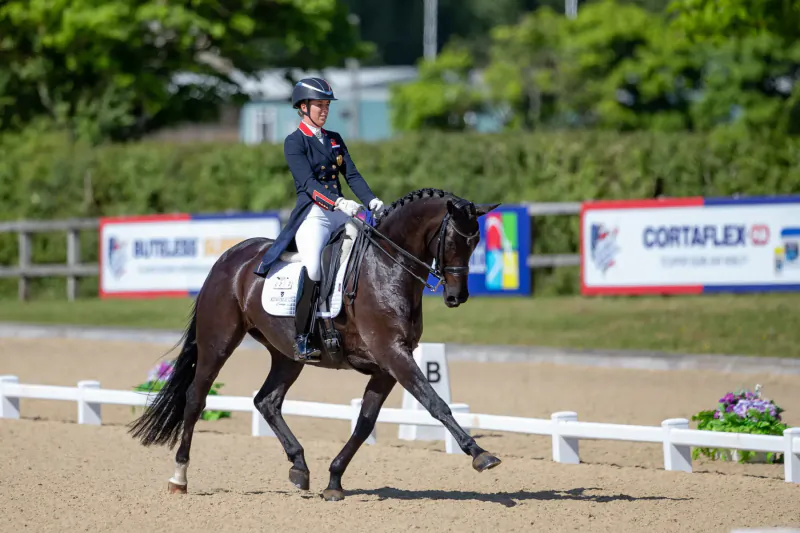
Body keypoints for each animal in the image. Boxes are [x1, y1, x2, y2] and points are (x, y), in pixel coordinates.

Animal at [128, 188, 502, 501]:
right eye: (453, 240)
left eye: (476, 243)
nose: (457, 297)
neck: (386, 267)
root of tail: (230, 256)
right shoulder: (393, 354)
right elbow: (436, 404)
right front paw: (480, 455)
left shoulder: (388, 366)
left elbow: (365, 422)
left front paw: (334, 481)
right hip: (218, 341)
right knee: (196, 397)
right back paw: (179, 478)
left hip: (287, 354)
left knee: (267, 401)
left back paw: (299, 468)